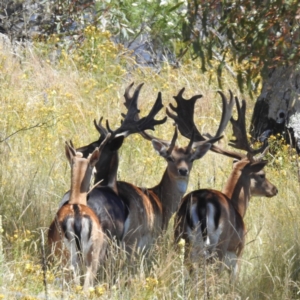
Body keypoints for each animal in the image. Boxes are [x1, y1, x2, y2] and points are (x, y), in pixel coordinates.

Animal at [173, 95, 278, 280]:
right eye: (262, 175)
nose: (274, 189)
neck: (238, 206)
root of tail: (202, 203)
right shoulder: (238, 251)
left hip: (178, 235)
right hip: (219, 244)